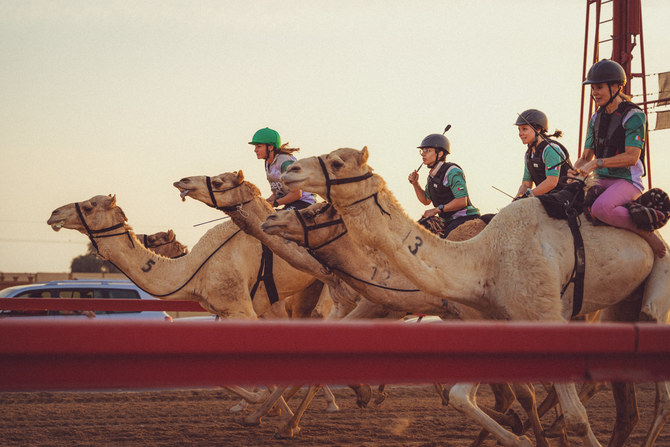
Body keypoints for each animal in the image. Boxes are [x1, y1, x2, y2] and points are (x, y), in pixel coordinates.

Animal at [280, 148, 670, 447]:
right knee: (627, 410)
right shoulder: (494, 321)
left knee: (656, 395)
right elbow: (465, 395)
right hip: (620, 303)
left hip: (652, 293)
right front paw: (519, 434)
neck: (484, 259)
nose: (289, 171)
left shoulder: (543, 314)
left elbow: (572, 415)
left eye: (336, 163)